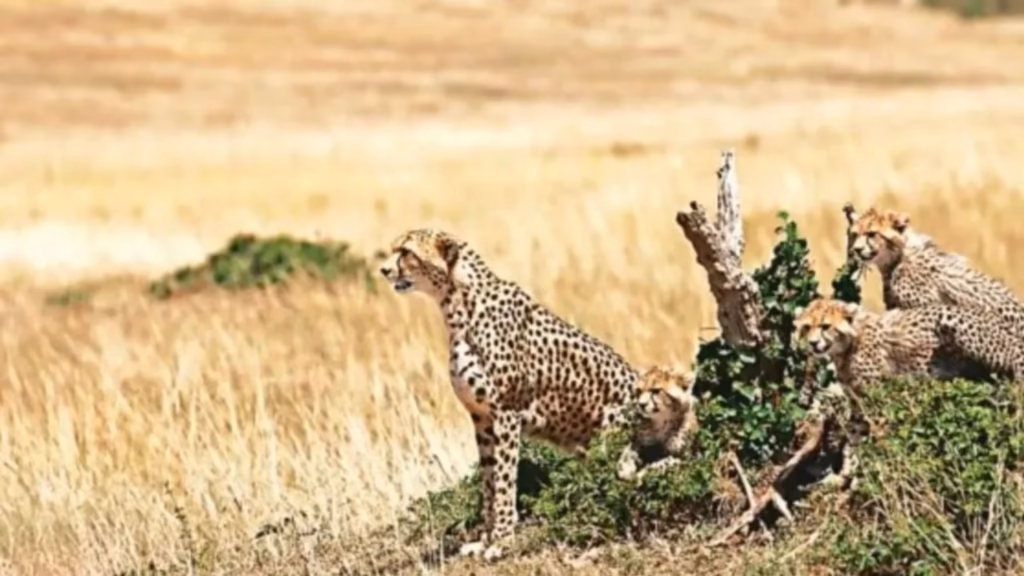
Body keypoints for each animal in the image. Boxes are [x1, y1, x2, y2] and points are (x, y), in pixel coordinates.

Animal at [378, 228, 641, 561]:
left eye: (407, 252)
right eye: (394, 250)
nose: (384, 270)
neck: (458, 306)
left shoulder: (506, 414)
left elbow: (504, 481)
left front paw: (501, 541)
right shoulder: (481, 418)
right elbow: (489, 481)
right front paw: (485, 539)